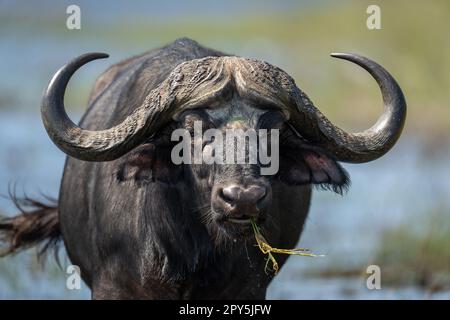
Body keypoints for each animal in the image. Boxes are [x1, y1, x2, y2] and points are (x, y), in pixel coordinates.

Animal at [0, 38, 408, 300]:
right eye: (192, 127)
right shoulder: (113, 288)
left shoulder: (249, 290)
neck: (189, 251)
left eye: (274, 127)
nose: (242, 199)